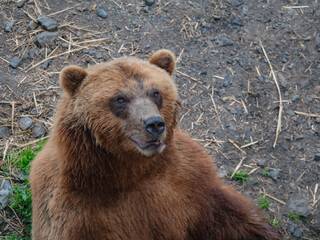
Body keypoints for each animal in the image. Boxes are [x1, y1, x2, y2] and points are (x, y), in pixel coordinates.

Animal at [29, 49, 280, 239]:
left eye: (155, 93)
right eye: (120, 99)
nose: (154, 124)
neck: (131, 171)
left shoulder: (189, 183)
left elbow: (234, 220)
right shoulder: (77, 214)